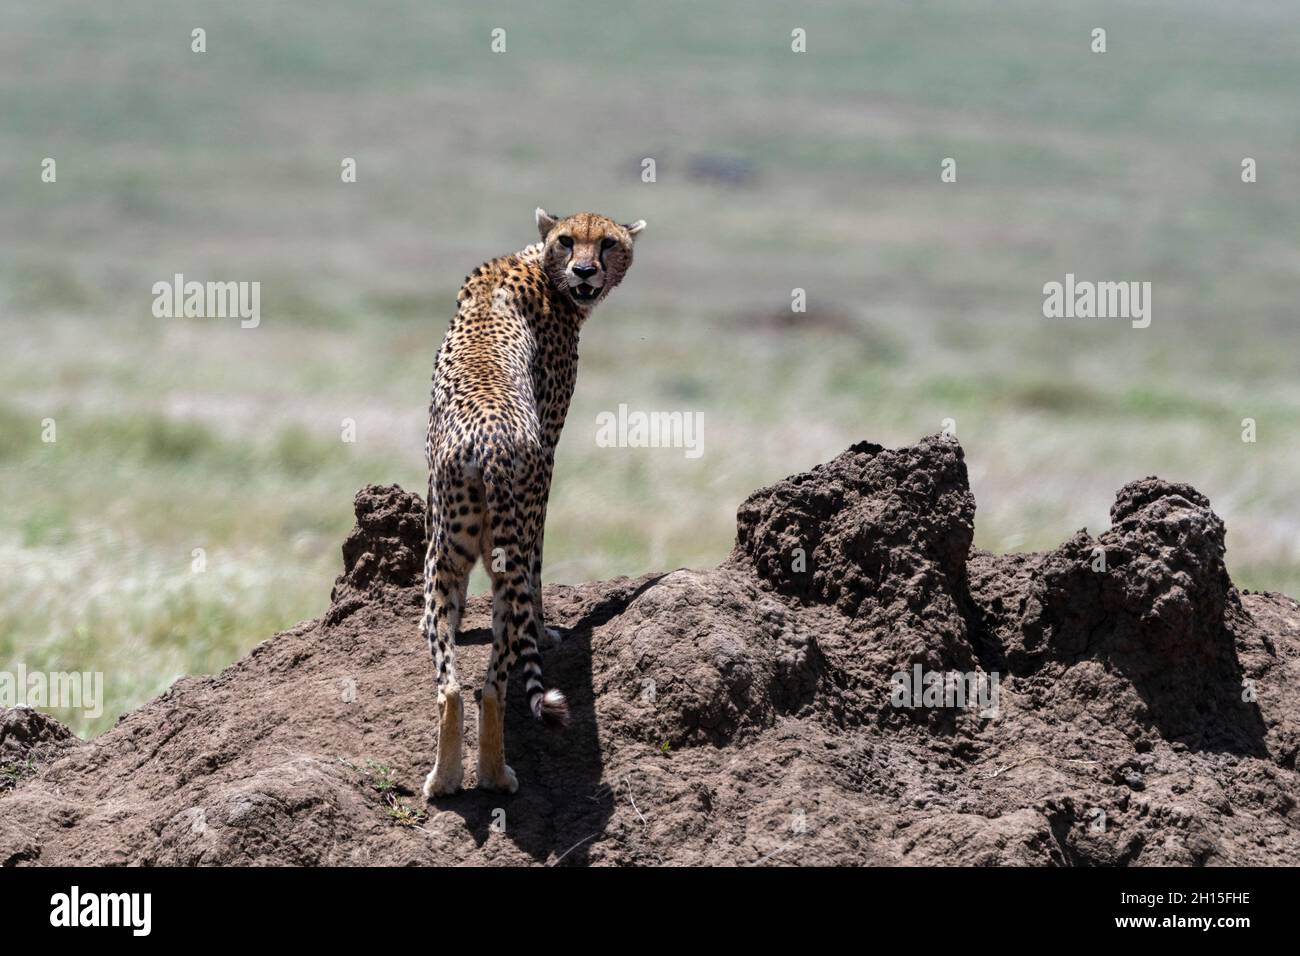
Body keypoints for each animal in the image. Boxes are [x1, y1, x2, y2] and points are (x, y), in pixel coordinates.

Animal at [421, 209, 644, 801]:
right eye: (568, 241)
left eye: (607, 243)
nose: (585, 271)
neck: (538, 264)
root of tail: (487, 446)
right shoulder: (547, 460)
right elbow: (541, 573)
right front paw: (545, 632)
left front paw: (452, 624)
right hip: (507, 548)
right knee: (495, 679)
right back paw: (496, 776)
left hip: (446, 553)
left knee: (458, 687)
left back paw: (448, 778)